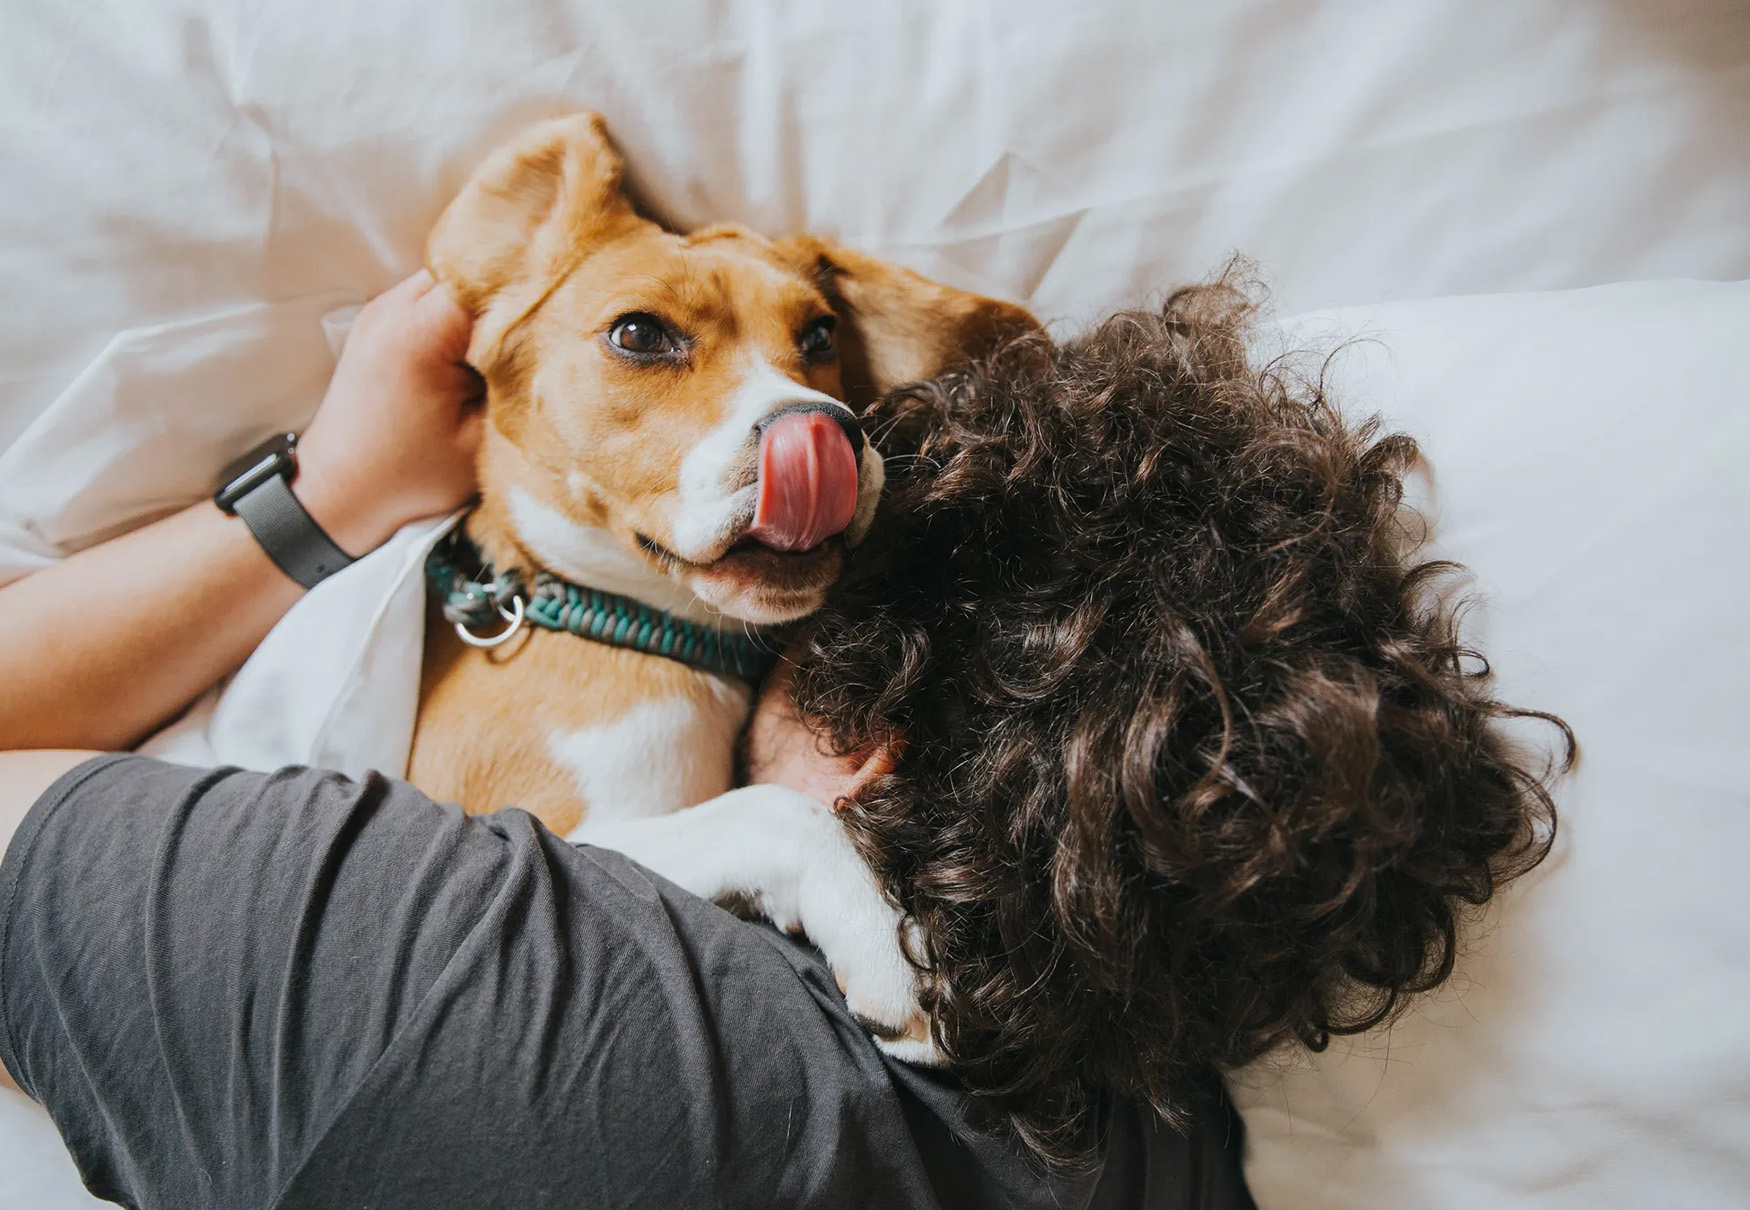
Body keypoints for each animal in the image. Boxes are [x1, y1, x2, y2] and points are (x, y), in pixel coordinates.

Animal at [406, 115, 1036, 1050]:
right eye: (638, 334)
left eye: (819, 336)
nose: (827, 434)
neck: (622, 619)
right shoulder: (545, 829)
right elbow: (773, 808)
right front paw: (888, 941)